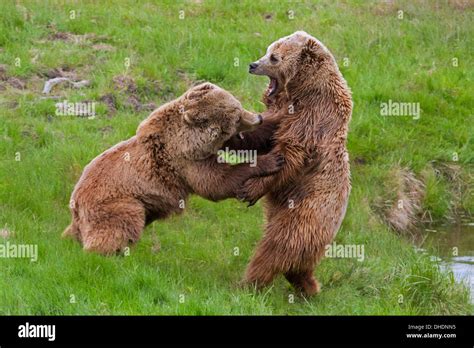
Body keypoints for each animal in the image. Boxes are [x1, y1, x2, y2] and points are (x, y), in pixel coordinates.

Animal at [63, 82, 286, 254]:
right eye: (237, 115)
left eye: (238, 105)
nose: (258, 117)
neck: (192, 139)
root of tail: (75, 204)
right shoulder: (185, 161)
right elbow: (215, 182)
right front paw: (271, 160)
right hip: (116, 203)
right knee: (120, 225)